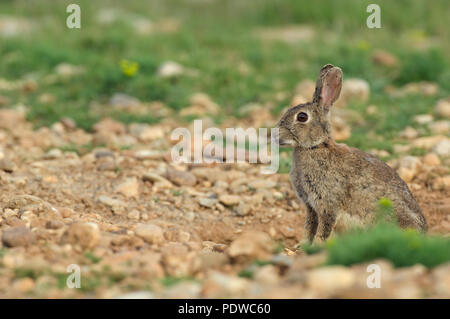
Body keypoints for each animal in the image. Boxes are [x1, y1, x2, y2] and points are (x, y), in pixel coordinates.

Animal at [274, 63, 426, 244]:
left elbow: (323, 230)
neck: (316, 147)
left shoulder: (328, 204)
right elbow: (309, 227)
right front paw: (302, 246)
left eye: (302, 117)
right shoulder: (310, 206)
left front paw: (316, 246)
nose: (275, 135)